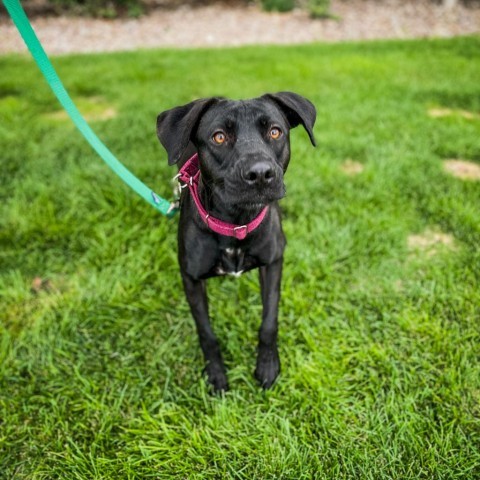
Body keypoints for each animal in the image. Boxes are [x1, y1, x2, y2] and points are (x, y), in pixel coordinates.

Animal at [157, 92, 316, 392]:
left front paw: (267, 366)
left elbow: (269, 322)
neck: (235, 223)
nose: (260, 173)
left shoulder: (273, 262)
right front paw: (216, 374)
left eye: (275, 132)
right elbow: (206, 333)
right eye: (219, 137)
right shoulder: (191, 278)